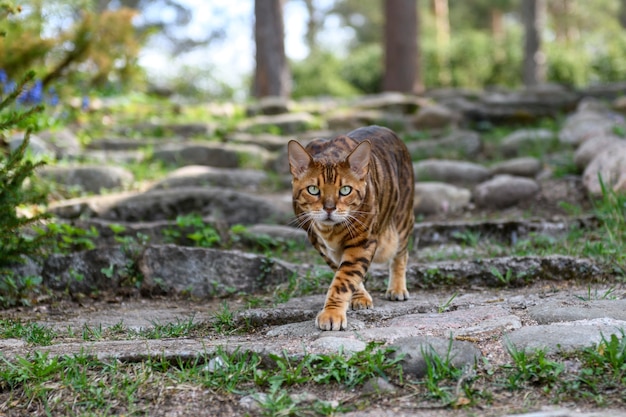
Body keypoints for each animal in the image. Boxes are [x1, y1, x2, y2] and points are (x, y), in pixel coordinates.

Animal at [288, 125, 414, 330]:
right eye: (313, 190)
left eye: (345, 190)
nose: (329, 208)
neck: (331, 231)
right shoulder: (320, 243)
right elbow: (344, 272)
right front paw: (359, 297)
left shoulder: (363, 241)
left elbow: (344, 279)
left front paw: (331, 314)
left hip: (401, 220)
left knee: (401, 252)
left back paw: (397, 288)